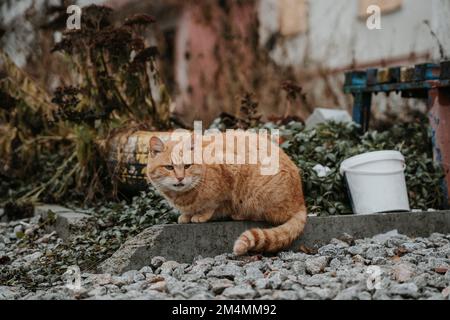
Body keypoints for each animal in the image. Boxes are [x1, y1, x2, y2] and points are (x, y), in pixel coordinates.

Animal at [146, 132, 308, 255]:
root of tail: (301, 202)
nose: (180, 178)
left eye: (187, 166)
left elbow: (213, 204)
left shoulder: (228, 171)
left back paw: (239, 214)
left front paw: (200, 215)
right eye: (169, 167)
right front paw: (186, 215)